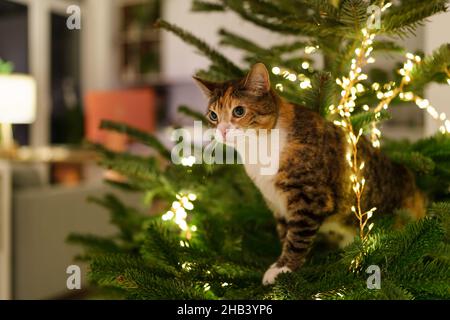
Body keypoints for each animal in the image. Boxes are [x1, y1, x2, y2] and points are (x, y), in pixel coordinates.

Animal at [193, 62, 426, 284]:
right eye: (213, 115)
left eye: (239, 111)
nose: (222, 130)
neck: (258, 149)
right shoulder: (277, 204)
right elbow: (286, 233)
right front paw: (283, 264)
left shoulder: (309, 196)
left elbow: (297, 236)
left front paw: (282, 269)